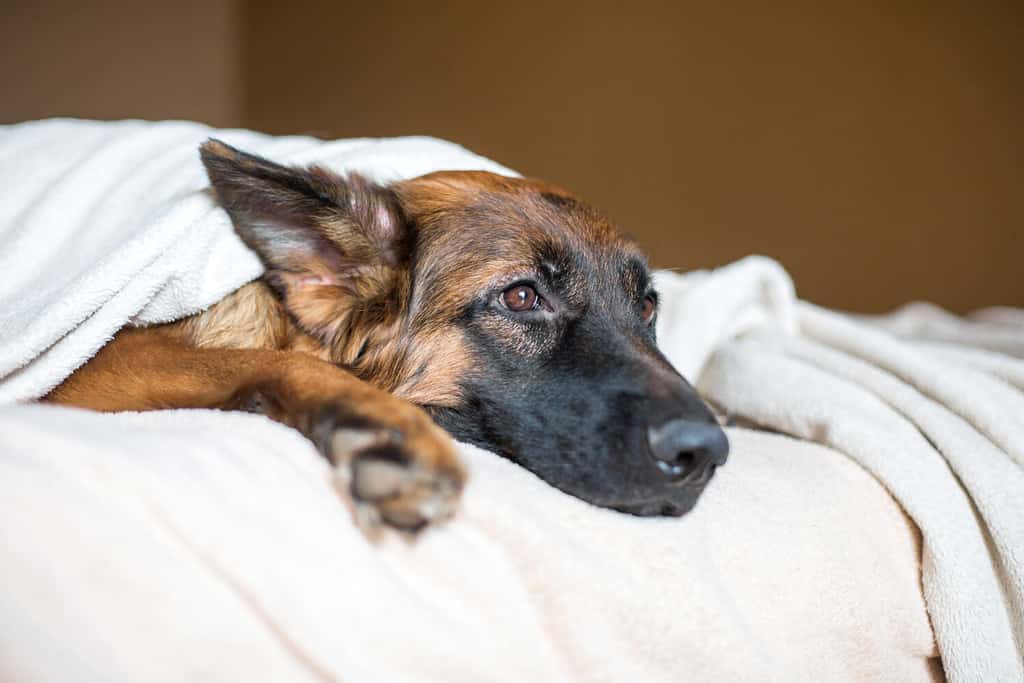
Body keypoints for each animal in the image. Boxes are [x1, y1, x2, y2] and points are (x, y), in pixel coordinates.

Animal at [46, 139, 729, 532]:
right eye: (521, 297)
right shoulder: (98, 367)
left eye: (647, 305)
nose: (706, 454)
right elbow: (271, 363)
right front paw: (384, 429)